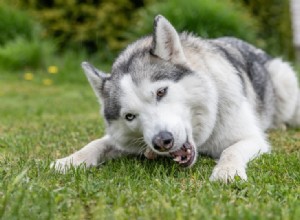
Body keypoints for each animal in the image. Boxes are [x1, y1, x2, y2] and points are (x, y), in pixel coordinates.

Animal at [51, 14, 300, 181]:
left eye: (161, 92)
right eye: (130, 116)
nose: (162, 141)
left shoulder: (252, 139)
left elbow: (231, 150)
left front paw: (226, 171)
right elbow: (97, 143)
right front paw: (70, 160)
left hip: (284, 79)